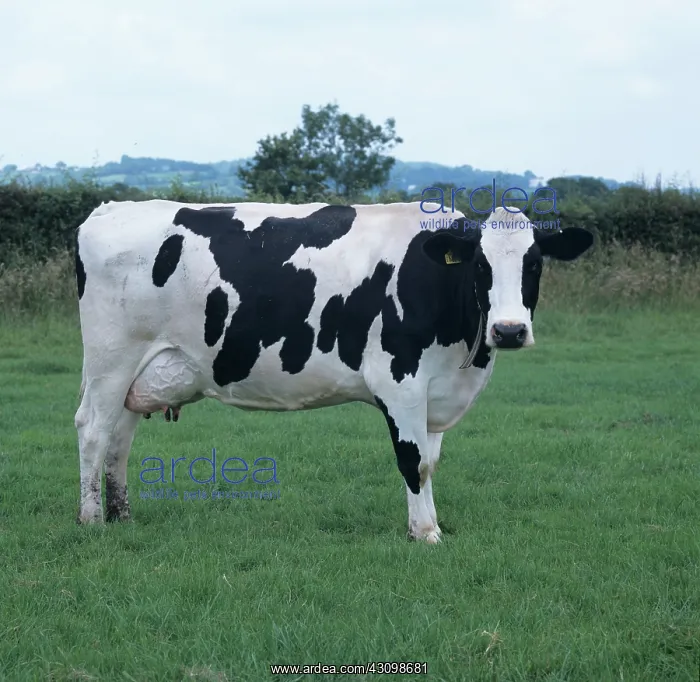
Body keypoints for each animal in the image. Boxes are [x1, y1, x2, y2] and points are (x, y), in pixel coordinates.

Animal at [74, 201, 593, 542]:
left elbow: (429, 461)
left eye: (534, 262)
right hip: (110, 360)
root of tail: (108, 208)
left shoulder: (436, 392)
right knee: (93, 431)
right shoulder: (400, 381)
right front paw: (425, 533)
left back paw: (122, 515)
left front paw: (425, 524)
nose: (509, 330)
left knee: (120, 439)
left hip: (140, 372)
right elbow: (412, 460)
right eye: (480, 265)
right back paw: (91, 519)